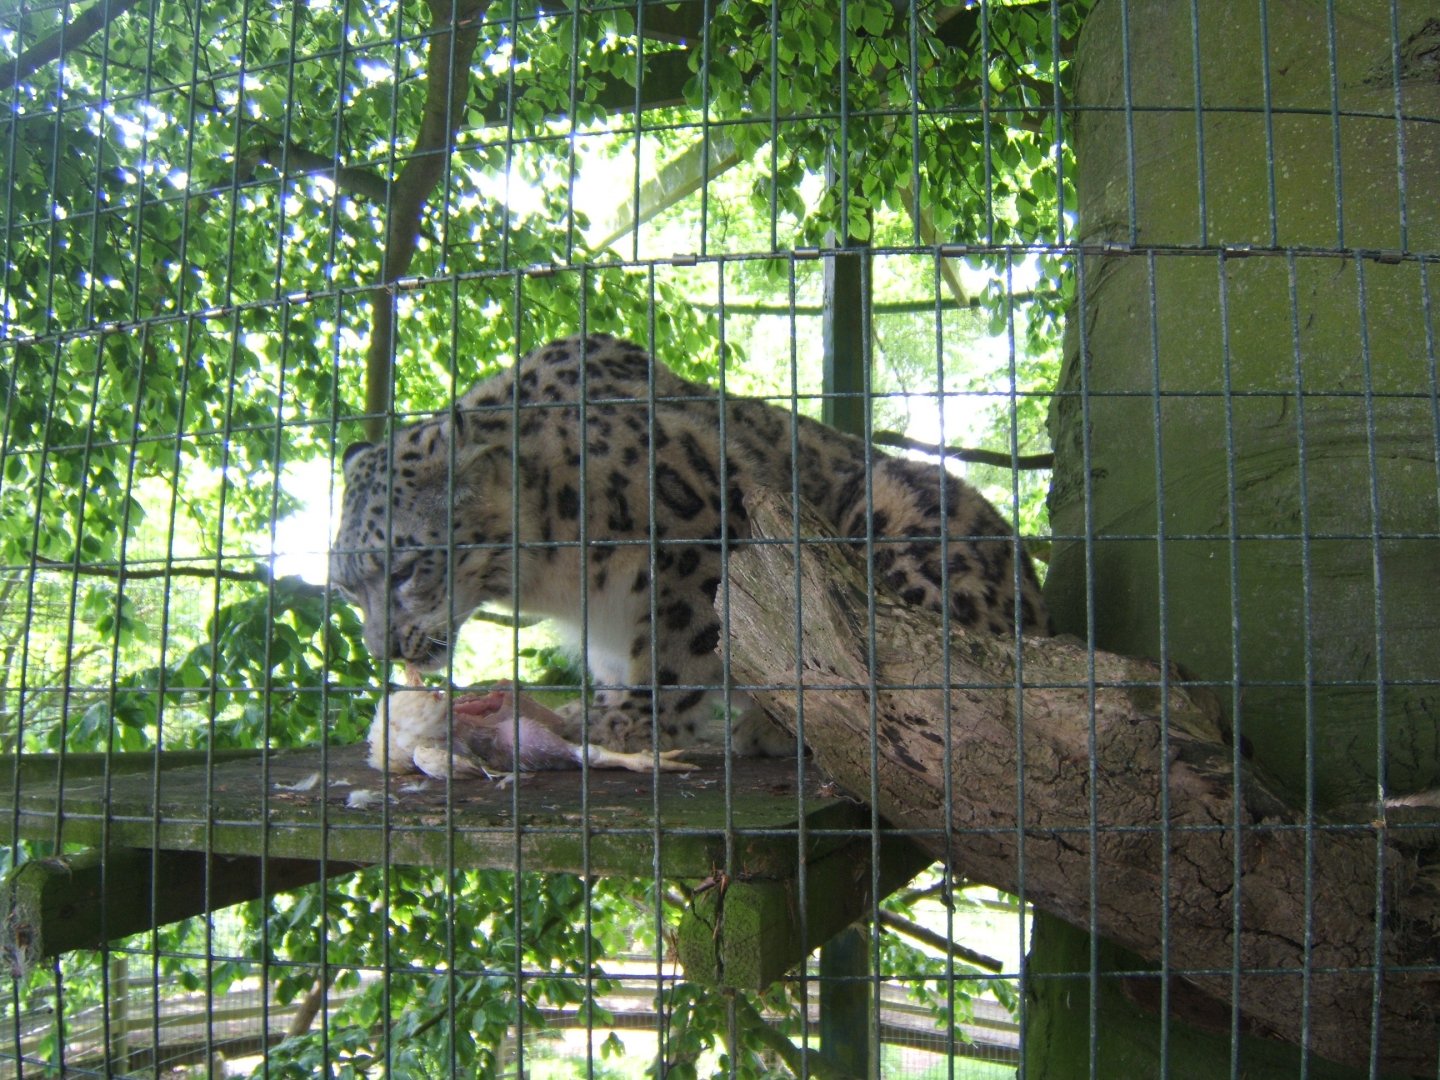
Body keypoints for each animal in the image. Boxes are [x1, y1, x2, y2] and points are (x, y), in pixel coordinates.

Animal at [330, 333, 1050, 755]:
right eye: (347, 589)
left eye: (404, 569)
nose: (383, 648)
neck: (558, 581)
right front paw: (604, 708)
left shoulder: (700, 532)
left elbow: (679, 642)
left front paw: (628, 723)